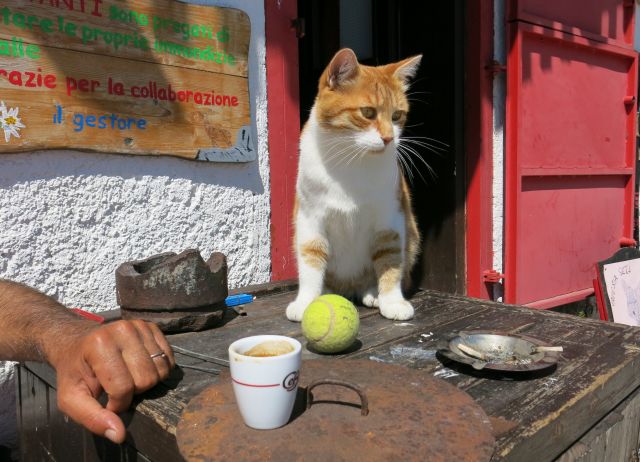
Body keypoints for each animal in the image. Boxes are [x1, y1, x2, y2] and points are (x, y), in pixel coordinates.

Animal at [288, 47, 422, 322]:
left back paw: (372, 292)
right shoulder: (309, 219)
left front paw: (392, 301)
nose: (389, 138)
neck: (351, 160)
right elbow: (311, 257)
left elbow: (390, 258)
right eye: (368, 113)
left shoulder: (390, 219)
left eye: (397, 116)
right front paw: (306, 301)